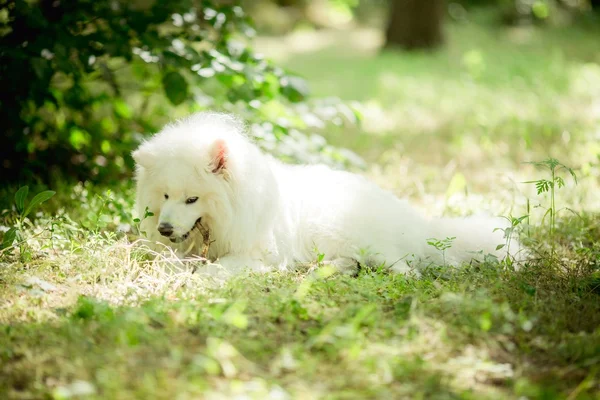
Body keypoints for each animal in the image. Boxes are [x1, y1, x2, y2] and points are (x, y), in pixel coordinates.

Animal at [134, 111, 516, 276]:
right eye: (164, 196)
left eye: (192, 199)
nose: (164, 229)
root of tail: (420, 226)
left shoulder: (260, 252)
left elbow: (216, 268)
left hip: (339, 227)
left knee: (405, 270)